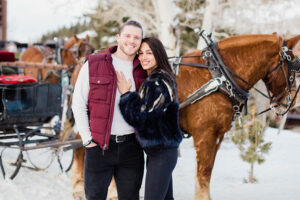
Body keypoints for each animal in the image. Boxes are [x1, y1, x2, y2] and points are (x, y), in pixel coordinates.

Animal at [177, 33, 300, 199]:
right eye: (292, 67)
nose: (294, 99)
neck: (218, 76)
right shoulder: (204, 136)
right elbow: (203, 178)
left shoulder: (217, 136)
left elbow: (205, 177)